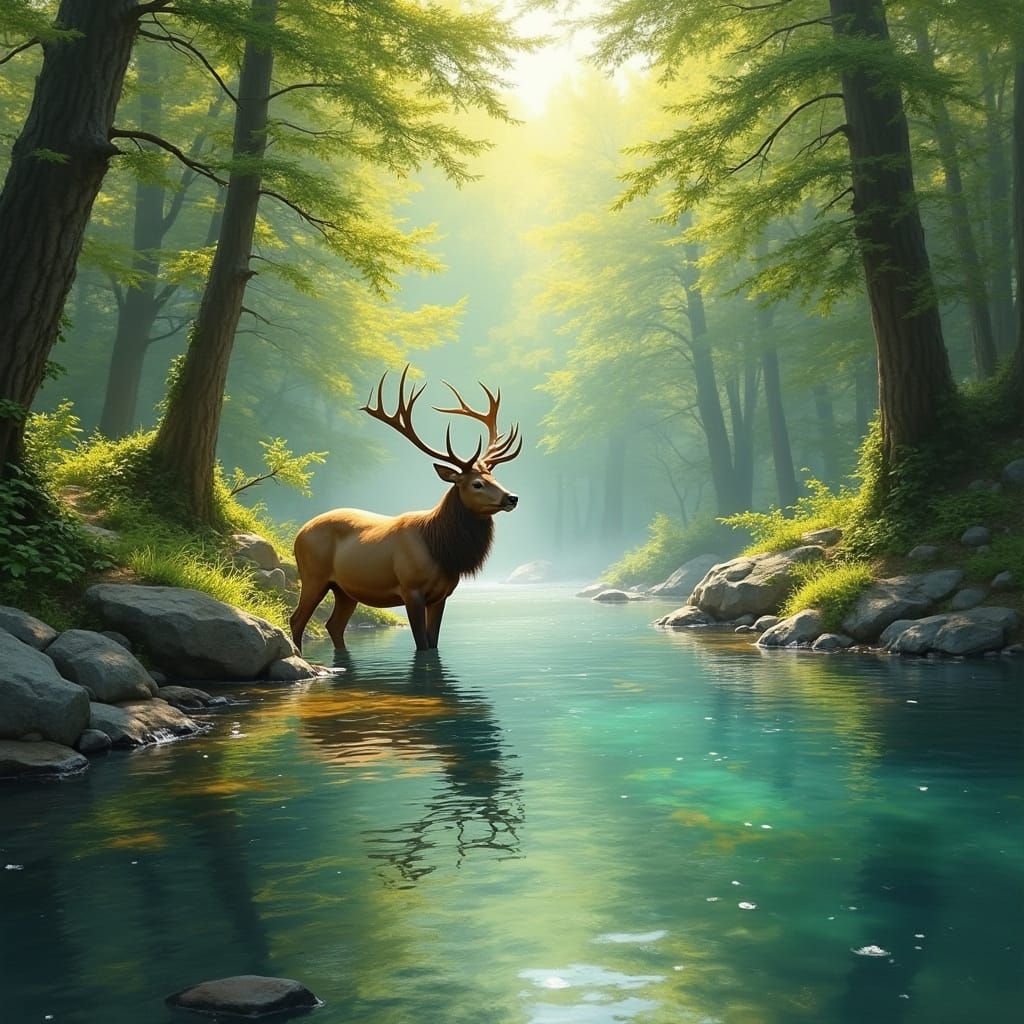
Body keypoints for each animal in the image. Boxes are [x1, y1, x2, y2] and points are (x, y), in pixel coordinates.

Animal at [290, 366, 522, 652]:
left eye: (494, 477)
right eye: (477, 484)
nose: (512, 498)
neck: (441, 549)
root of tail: (299, 534)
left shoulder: (441, 595)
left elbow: (433, 643)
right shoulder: (411, 589)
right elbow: (422, 645)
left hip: (344, 589)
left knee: (333, 625)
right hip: (313, 575)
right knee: (297, 619)